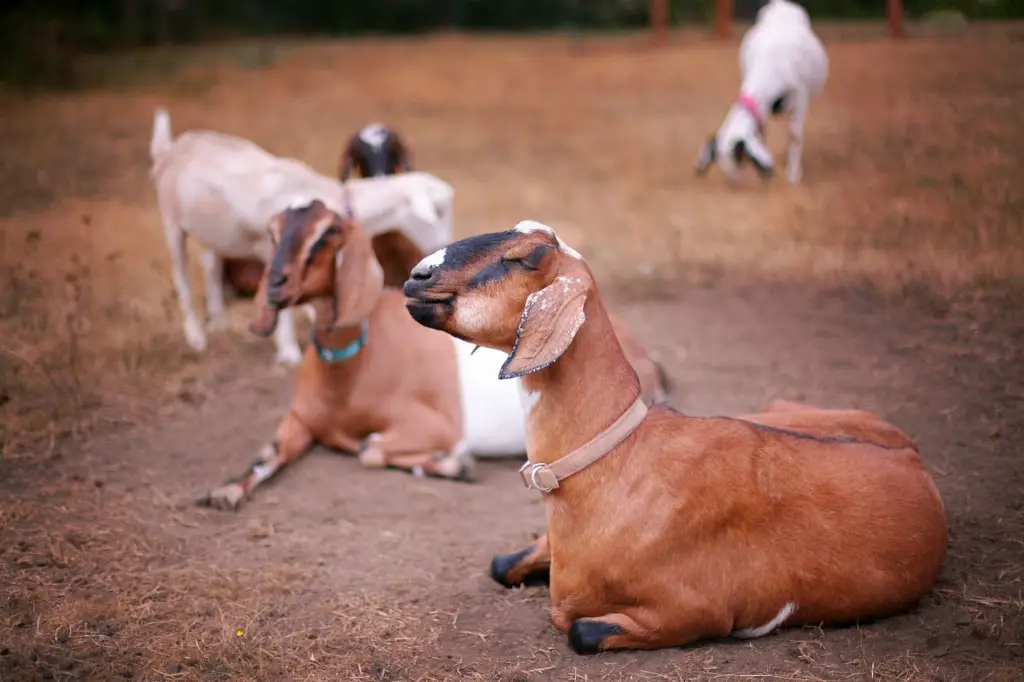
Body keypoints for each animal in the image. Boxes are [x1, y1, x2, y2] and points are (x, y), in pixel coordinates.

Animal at [148, 109, 452, 364]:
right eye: (437, 212)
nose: (444, 247)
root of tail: (171, 147)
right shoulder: (273, 249)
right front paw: (289, 352)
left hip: (215, 232)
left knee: (210, 264)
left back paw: (218, 322)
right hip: (170, 220)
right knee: (182, 278)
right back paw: (196, 337)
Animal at [195, 199, 667, 507]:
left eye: (326, 234)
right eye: (273, 231)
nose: (275, 284)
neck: (351, 370)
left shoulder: (432, 426)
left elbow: (369, 450)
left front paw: (454, 464)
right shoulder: (298, 420)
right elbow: (265, 454)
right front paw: (225, 490)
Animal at [401, 220, 950, 651]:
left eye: (524, 257)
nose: (416, 275)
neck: (619, 458)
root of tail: (915, 458)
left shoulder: (695, 611)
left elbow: (580, 631)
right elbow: (502, 563)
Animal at [692, 0, 827, 183]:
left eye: (741, 159)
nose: (734, 181)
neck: (771, 67)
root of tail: (780, 4)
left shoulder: (801, 96)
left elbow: (795, 134)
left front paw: (793, 174)